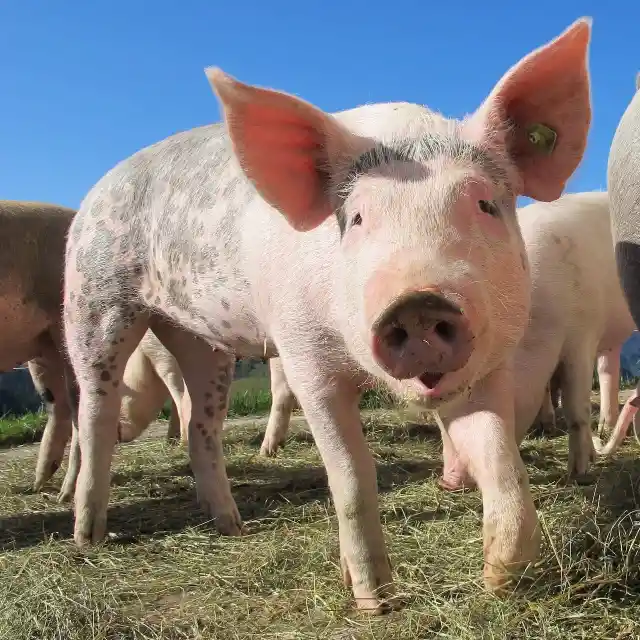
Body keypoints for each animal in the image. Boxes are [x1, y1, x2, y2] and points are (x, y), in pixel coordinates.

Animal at [62, 19, 592, 612]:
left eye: (484, 205)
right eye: (356, 218)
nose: (419, 302)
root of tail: (96, 190)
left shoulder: (489, 363)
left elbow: (500, 457)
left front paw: (502, 579)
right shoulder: (304, 357)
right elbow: (352, 477)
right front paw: (375, 602)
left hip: (201, 340)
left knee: (202, 423)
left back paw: (232, 526)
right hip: (94, 297)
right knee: (97, 411)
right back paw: (88, 537)